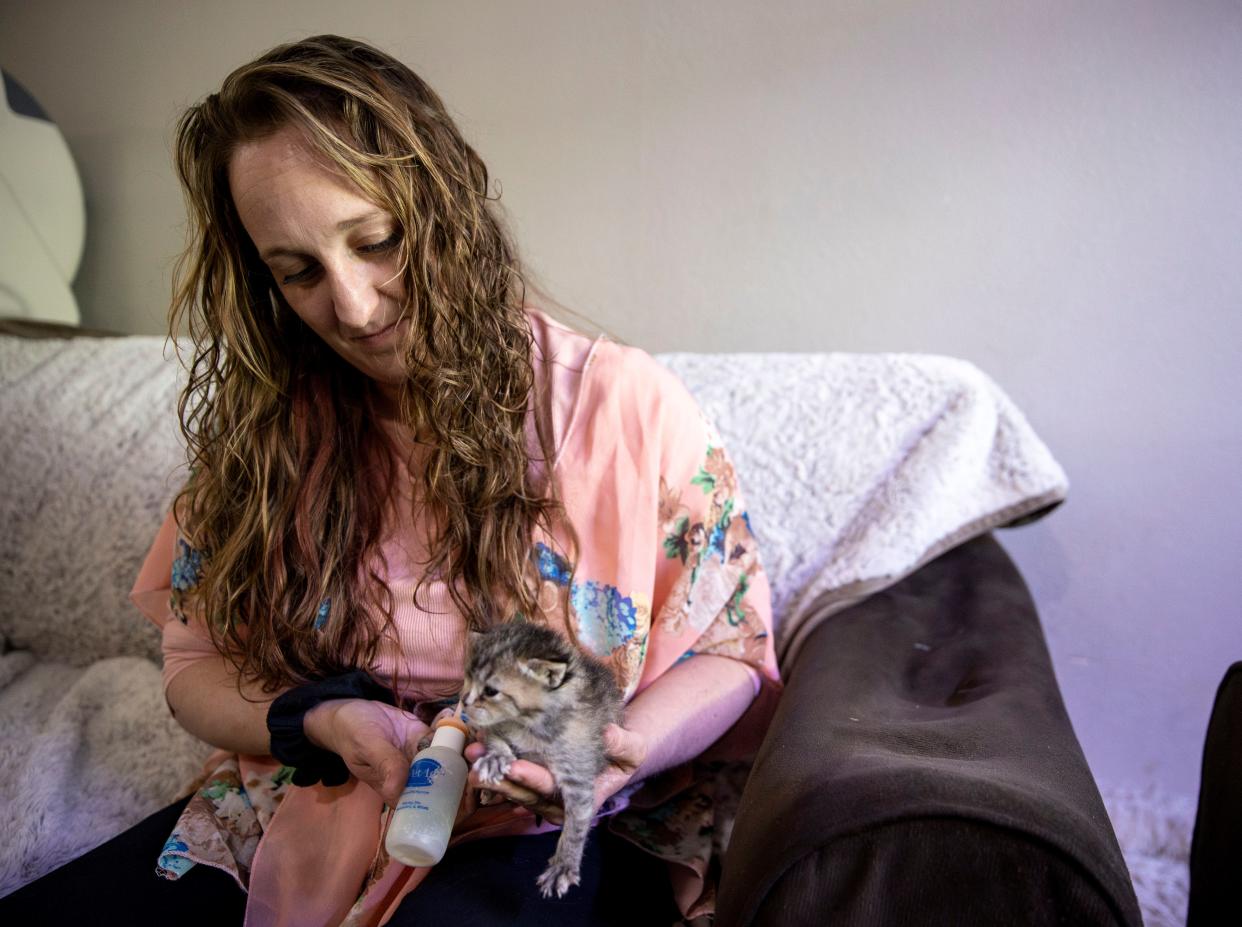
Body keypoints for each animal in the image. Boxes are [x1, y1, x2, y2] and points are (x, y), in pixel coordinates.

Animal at [464, 621, 625, 894]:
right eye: (467, 678)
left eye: (491, 691)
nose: (464, 702)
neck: (527, 723)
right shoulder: (494, 726)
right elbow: (494, 738)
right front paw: (496, 758)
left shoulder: (579, 770)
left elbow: (577, 822)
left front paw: (563, 865)